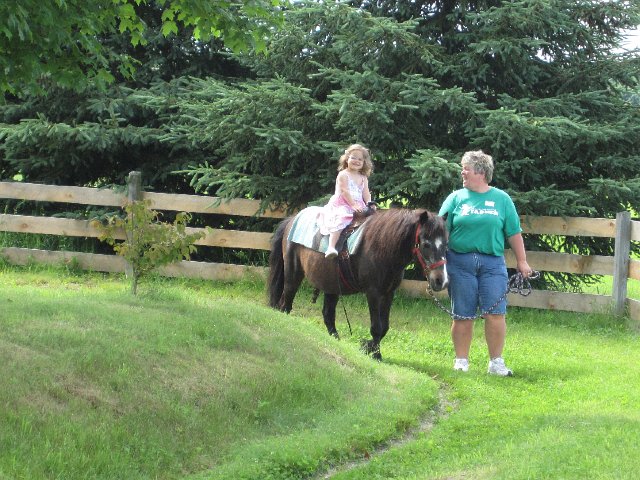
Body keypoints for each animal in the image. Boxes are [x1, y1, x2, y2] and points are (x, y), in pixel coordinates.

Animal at [267, 207, 449, 360]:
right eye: (426, 244)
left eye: (446, 244)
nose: (441, 281)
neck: (382, 247)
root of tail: (292, 219)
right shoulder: (373, 293)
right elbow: (377, 326)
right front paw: (375, 353)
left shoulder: (389, 293)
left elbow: (385, 327)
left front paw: (370, 348)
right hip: (293, 275)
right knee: (286, 303)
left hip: (331, 286)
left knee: (328, 314)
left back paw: (336, 340)